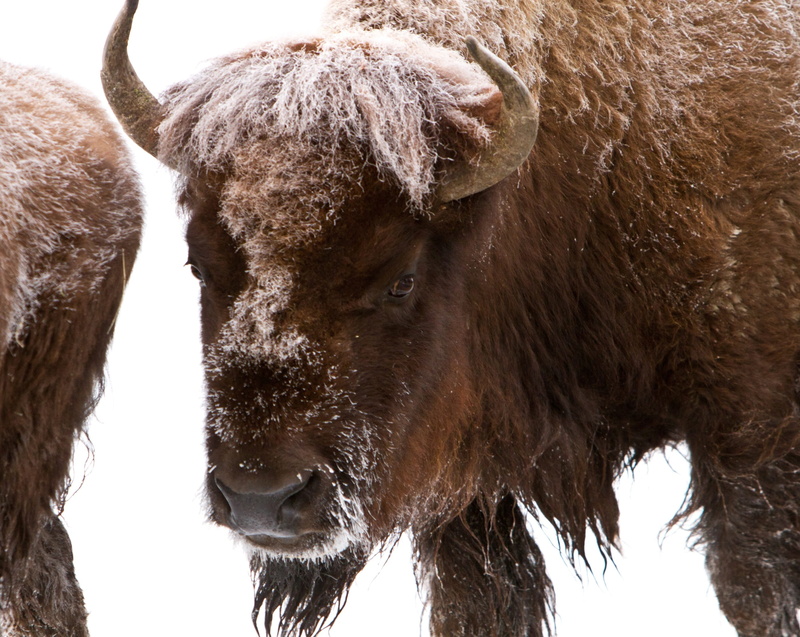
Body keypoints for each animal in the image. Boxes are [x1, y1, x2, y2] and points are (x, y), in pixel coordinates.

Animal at [104, 0, 800, 635]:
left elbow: (754, 591)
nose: (261, 499)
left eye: (400, 279)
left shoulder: (749, 436)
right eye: (198, 266)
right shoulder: (467, 490)